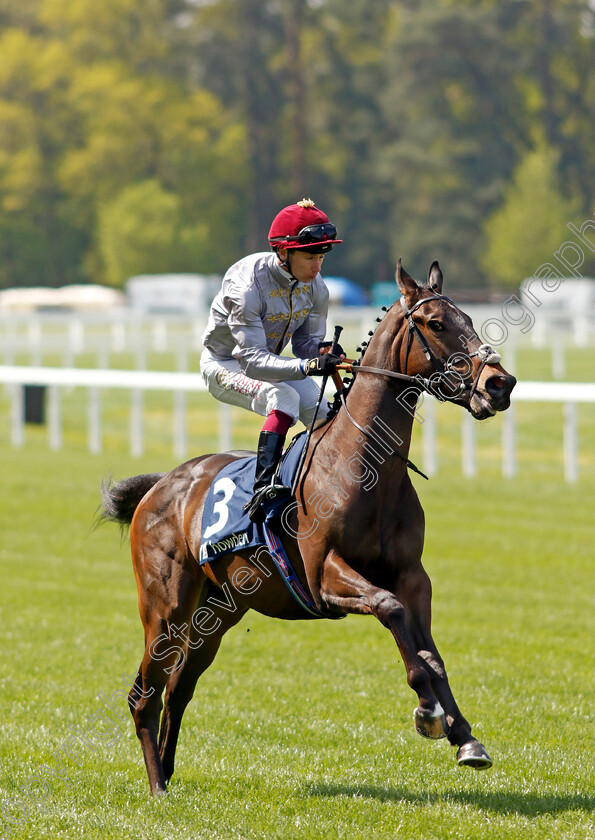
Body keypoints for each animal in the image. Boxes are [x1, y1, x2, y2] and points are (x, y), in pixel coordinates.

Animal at [100, 260, 516, 796]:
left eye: (469, 317)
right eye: (436, 323)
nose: (500, 384)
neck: (364, 468)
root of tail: (161, 485)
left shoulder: (412, 575)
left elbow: (429, 650)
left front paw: (465, 736)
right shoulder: (323, 575)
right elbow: (391, 609)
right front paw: (427, 711)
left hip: (218, 611)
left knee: (178, 688)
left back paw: (169, 776)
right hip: (165, 607)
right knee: (144, 695)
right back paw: (156, 788)